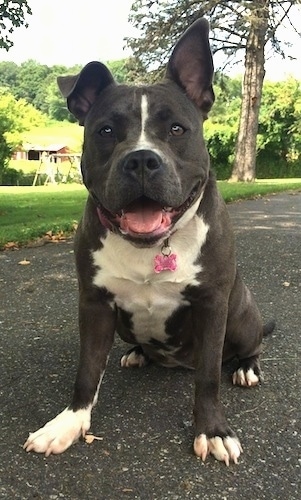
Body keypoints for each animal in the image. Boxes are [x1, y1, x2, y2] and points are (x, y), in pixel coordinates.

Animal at [23, 18, 274, 464]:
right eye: (106, 131)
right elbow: (87, 371)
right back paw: (137, 353)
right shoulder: (94, 303)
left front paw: (212, 431)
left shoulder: (212, 305)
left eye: (176, 129)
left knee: (248, 348)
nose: (141, 159)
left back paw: (247, 369)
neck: (154, 246)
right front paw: (67, 425)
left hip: (243, 316)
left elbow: (209, 376)